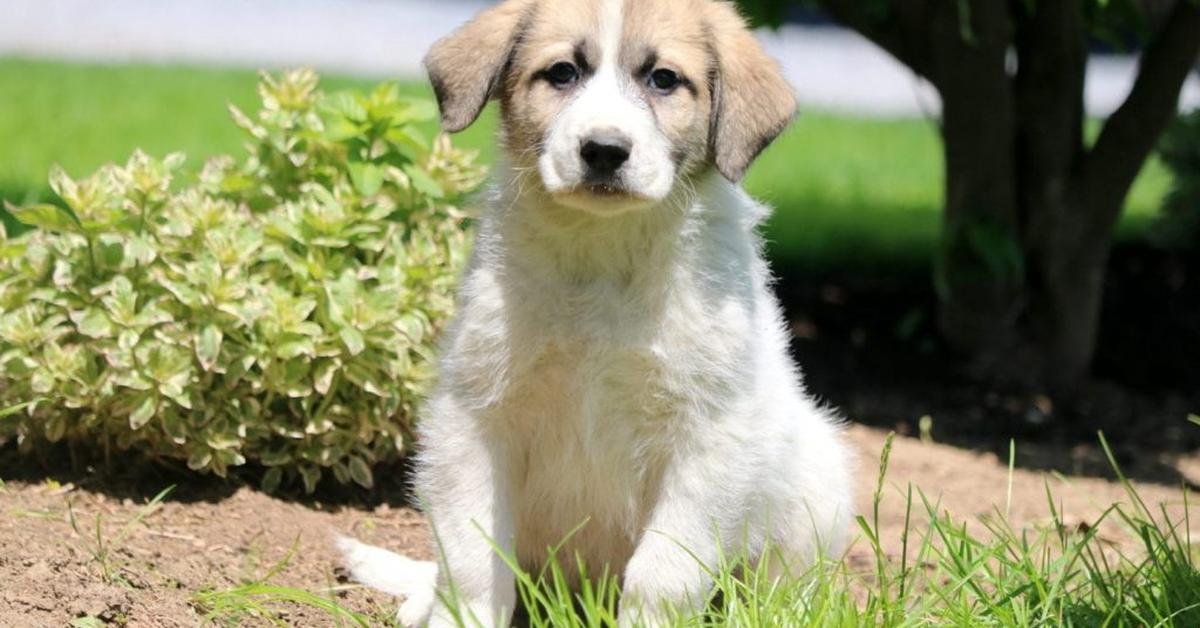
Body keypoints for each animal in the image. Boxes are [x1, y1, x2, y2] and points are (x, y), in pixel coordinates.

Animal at [343, 2, 859, 624]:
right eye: (562, 72)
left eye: (663, 79)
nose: (605, 150)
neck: (603, 249)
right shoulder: (477, 412)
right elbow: (472, 550)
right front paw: (462, 614)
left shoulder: (710, 431)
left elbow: (665, 569)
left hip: (818, 477)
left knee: (786, 580)